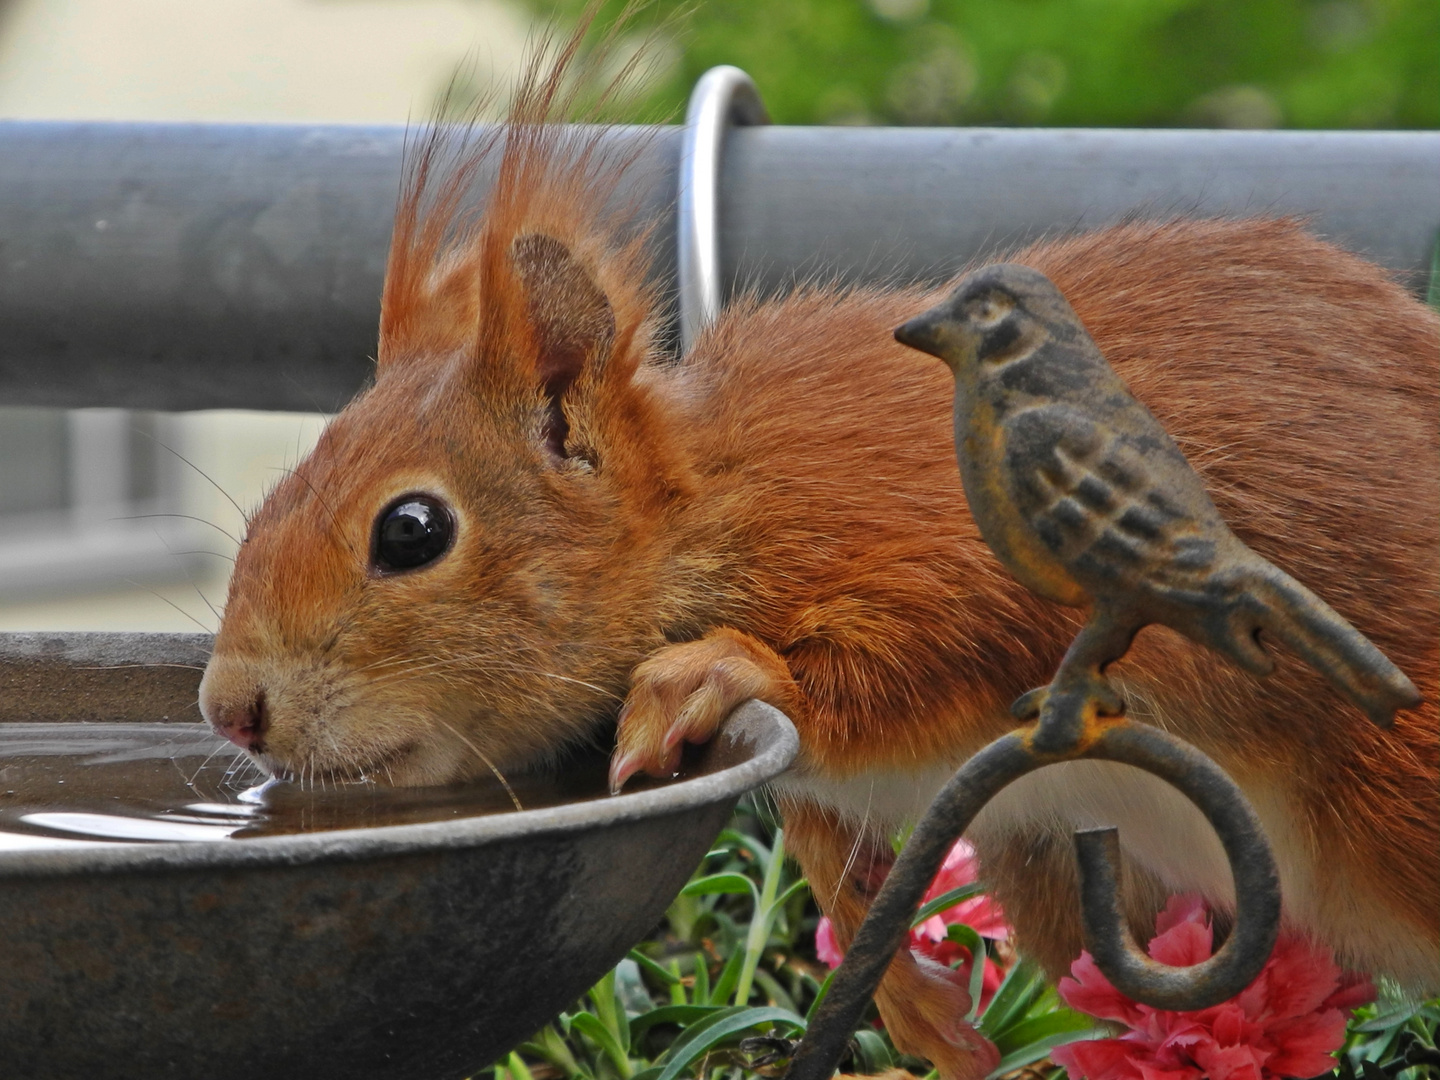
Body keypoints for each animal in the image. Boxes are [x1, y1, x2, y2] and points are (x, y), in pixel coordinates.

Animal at [194, 21, 1440, 1077]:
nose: (230, 709)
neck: (719, 505)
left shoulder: (947, 561)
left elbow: (899, 673)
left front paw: (716, 669)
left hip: (1393, 799)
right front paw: (920, 1009)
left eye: (411, 531)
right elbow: (821, 822)